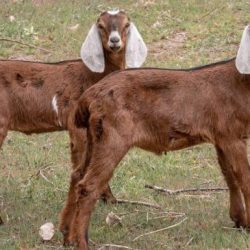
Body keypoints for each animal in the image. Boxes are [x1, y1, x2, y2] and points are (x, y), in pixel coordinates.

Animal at [0, 11, 147, 227]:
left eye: (127, 24)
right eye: (100, 25)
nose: (114, 41)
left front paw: (110, 199)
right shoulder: (77, 125)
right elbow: (81, 165)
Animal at [61, 26, 250, 249]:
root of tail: (90, 96)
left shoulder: (221, 136)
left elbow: (230, 176)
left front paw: (240, 222)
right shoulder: (233, 136)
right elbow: (245, 179)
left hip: (94, 136)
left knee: (77, 175)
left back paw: (67, 236)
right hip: (112, 138)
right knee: (88, 186)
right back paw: (81, 242)